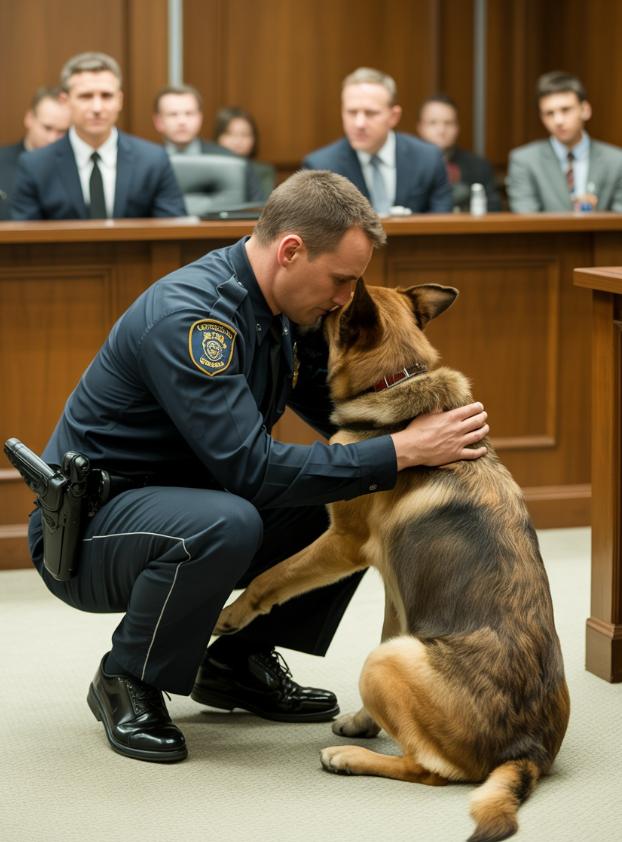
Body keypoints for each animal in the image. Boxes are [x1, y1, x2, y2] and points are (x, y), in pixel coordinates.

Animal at [215, 279, 570, 842]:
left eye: (332, 312)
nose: (289, 323)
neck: (399, 381)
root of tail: (528, 753)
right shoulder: (392, 589)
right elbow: (384, 620)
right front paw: (366, 720)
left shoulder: (341, 542)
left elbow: (271, 578)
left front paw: (229, 615)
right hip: (395, 652)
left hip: (384, 662)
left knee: (429, 771)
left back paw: (348, 758)